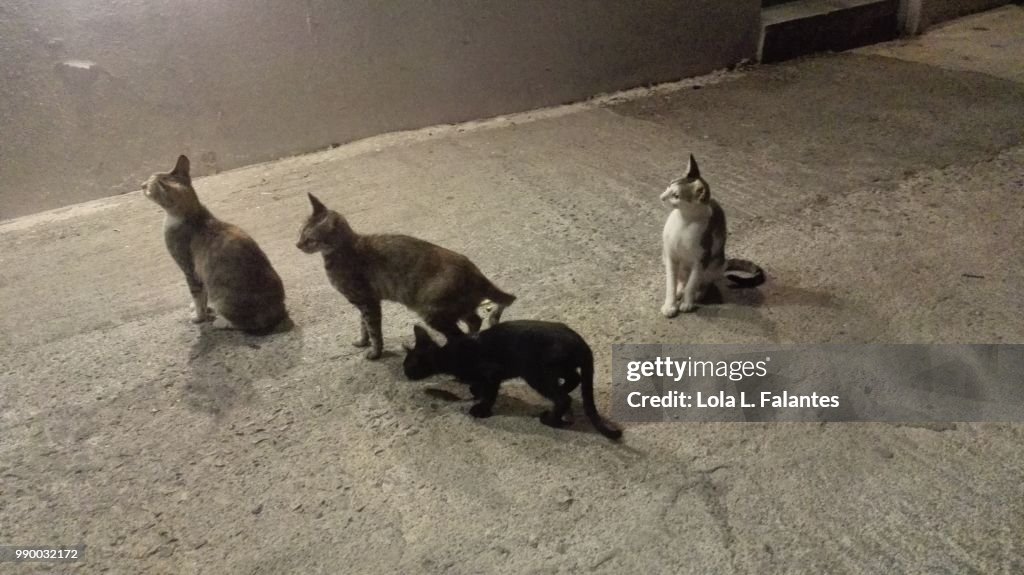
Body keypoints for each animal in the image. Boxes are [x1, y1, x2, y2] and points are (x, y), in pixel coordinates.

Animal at [142, 154, 290, 333]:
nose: (141, 185)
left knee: (246, 324)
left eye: (149, 187)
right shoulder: (201, 272)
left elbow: (197, 294)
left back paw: (222, 322)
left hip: (223, 296)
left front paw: (199, 316)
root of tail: (278, 313)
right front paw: (203, 309)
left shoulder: (190, 269)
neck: (193, 214)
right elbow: (203, 295)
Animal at [299, 192, 516, 358]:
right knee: (475, 320)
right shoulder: (363, 303)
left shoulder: (368, 302)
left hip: (432, 312)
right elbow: (363, 326)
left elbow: (374, 331)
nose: (297, 244)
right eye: (300, 232)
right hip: (457, 308)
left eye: (310, 240)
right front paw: (362, 341)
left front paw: (375, 352)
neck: (344, 249)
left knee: (458, 333)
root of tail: (475, 273)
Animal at [403, 317, 618, 437]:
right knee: (574, 379)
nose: (404, 373)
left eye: (408, 366)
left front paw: (481, 409)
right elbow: (477, 386)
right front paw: (476, 393)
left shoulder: (492, 372)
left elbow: (489, 392)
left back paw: (551, 419)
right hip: (558, 368)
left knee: (563, 398)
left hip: (534, 372)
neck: (448, 354)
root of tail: (582, 343)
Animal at [659, 153, 765, 317]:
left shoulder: (702, 258)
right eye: (668, 186)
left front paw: (687, 302)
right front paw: (670, 305)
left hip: (714, 265)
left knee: (703, 282)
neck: (684, 221)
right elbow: (671, 283)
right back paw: (679, 290)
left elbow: (692, 283)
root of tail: (724, 262)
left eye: (676, 195)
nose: (661, 196)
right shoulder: (671, 256)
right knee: (682, 279)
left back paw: (697, 294)